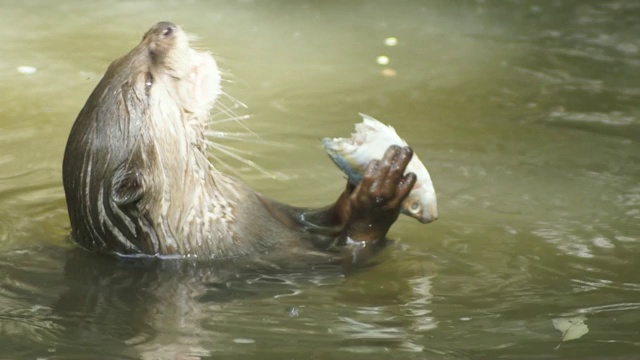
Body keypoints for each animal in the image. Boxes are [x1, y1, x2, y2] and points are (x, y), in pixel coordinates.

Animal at [62, 21, 418, 260]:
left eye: (117, 61)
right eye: (147, 83)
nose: (162, 28)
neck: (206, 230)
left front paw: (354, 189)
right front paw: (377, 194)